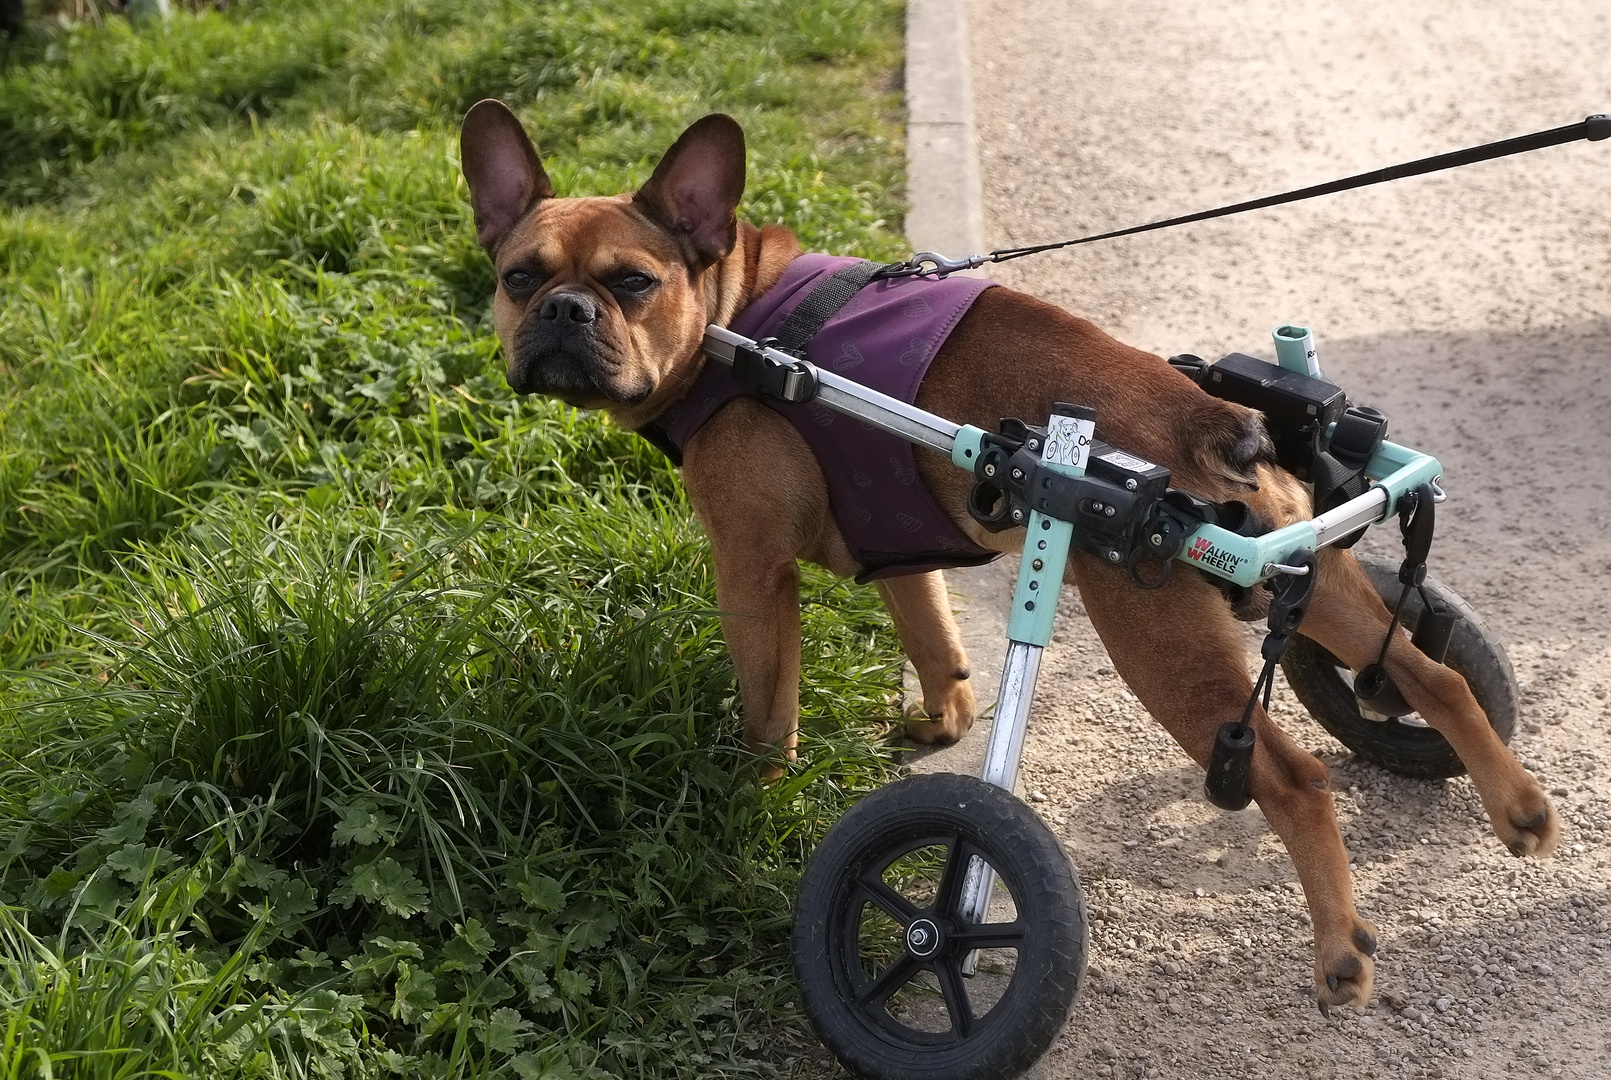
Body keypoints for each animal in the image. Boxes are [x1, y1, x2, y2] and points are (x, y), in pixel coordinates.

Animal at [457, 97, 1559, 1012]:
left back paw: (1339, 953)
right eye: (519, 277)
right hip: (1313, 576)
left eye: (633, 284)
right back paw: (1516, 808)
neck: (740, 319)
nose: (562, 311)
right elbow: (930, 629)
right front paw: (943, 714)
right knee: (1427, 674)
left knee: (1295, 782)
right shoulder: (899, 542)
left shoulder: (751, 574)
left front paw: (749, 799)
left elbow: (769, 709)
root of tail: (1219, 423)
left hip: (1159, 644)